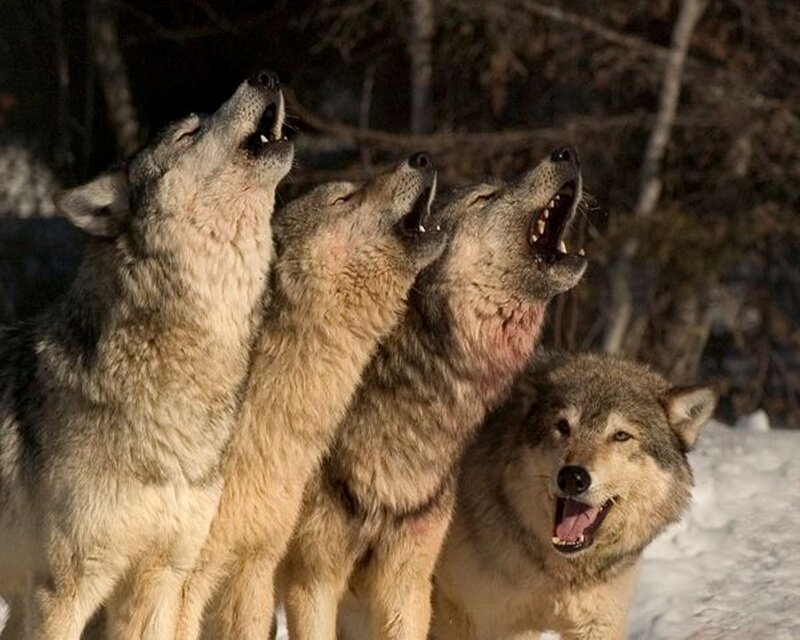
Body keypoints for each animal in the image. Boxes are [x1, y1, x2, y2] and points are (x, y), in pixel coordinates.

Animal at [432, 352, 717, 640]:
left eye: (621, 435)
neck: (561, 574)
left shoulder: (598, 624)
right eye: (563, 426)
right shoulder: (486, 620)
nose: (572, 477)